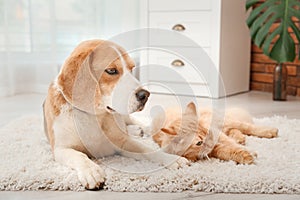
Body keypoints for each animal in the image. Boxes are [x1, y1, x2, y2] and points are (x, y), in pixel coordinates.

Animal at [42, 39, 188, 190]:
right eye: (111, 70)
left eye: (132, 68)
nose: (145, 95)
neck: (94, 116)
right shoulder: (60, 149)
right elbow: (79, 156)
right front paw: (91, 171)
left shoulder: (122, 143)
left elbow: (147, 150)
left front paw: (170, 159)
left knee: (136, 122)